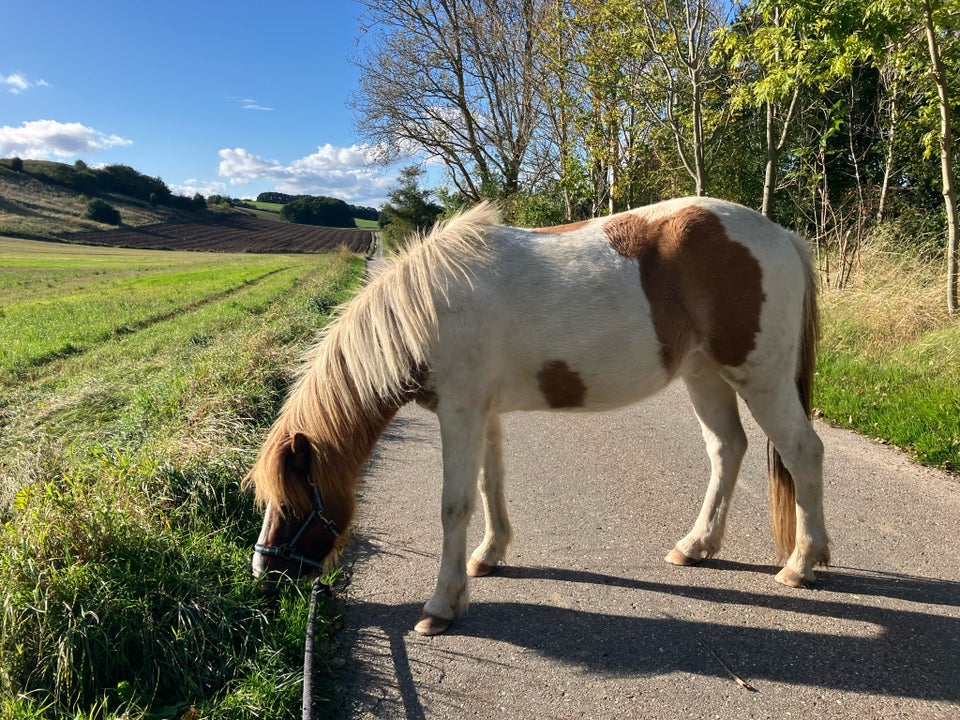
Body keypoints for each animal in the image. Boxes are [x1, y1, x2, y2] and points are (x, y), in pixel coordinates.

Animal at [251, 197, 828, 636]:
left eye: (293, 502)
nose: (263, 571)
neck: (429, 309)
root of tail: (781, 235)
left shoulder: (461, 411)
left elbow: (454, 505)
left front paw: (441, 606)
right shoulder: (484, 412)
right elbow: (491, 485)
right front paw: (489, 555)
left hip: (760, 379)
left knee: (803, 453)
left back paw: (802, 563)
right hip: (704, 375)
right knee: (727, 448)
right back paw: (696, 545)